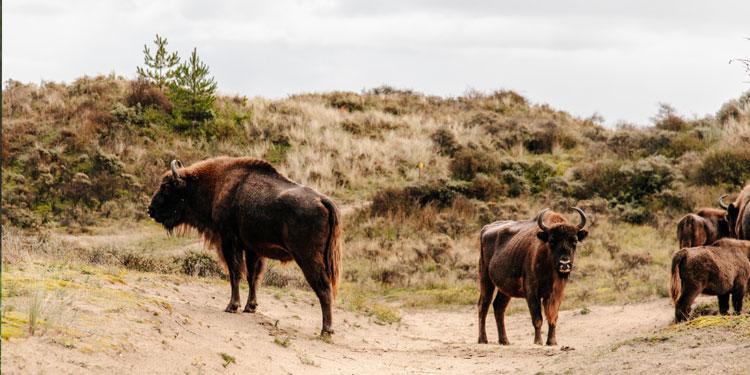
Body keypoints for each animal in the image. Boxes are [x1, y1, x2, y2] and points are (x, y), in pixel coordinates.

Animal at [148, 157, 342, 336]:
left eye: (166, 187)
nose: (150, 210)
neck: (216, 184)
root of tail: (323, 200)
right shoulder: (252, 249)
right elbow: (252, 277)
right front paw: (250, 307)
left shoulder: (229, 242)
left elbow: (235, 272)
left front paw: (232, 306)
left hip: (307, 258)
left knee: (324, 288)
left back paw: (326, 330)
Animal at [478, 209, 592, 346]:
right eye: (552, 241)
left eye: (574, 241)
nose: (564, 264)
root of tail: (485, 229)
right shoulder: (532, 292)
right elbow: (537, 318)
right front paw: (538, 341)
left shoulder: (555, 294)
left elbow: (553, 317)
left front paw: (552, 342)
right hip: (486, 280)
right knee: (483, 306)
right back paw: (483, 339)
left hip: (505, 290)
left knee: (498, 307)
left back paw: (504, 341)